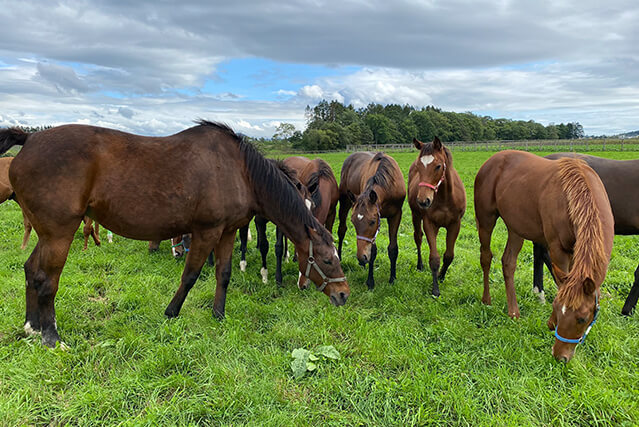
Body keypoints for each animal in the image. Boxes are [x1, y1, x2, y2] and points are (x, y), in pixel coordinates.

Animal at [0, 120, 350, 348]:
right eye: (327, 260)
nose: (344, 294)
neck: (238, 170)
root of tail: (29, 140)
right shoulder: (206, 232)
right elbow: (191, 275)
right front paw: (171, 312)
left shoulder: (227, 233)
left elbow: (223, 274)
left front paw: (219, 315)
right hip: (59, 233)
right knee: (47, 280)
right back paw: (51, 337)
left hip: (47, 233)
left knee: (31, 270)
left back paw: (32, 327)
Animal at [340, 152, 404, 290]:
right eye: (353, 222)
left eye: (372, 222)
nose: (361, 257)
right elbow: (373, 252)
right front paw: (370, 282)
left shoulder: (396, 215)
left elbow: (393, 248)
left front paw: (392, 278)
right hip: (344, 201)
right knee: (341, 231)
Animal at [410, 138, 464, 298]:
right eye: (418, 166)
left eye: (438, 166)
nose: (423, 201)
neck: (445, 197)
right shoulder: (429, 223)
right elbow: (434, 258)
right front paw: (435, 289)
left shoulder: (455, 224)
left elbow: (449, 256)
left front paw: (441, 276)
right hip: (416, 216)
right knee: (418, 238)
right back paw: (420, 265)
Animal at [476, 150, 616, 362]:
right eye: (557, 308)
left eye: (582, 318)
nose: (560, 356)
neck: (575, 196)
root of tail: (492, 160)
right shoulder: (558, 249)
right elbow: (560, 285)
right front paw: (551, 322)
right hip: (486, 220)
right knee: (486, 257)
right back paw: (487, 300)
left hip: (516, 227)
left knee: (508, 263)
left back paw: (513, 312)